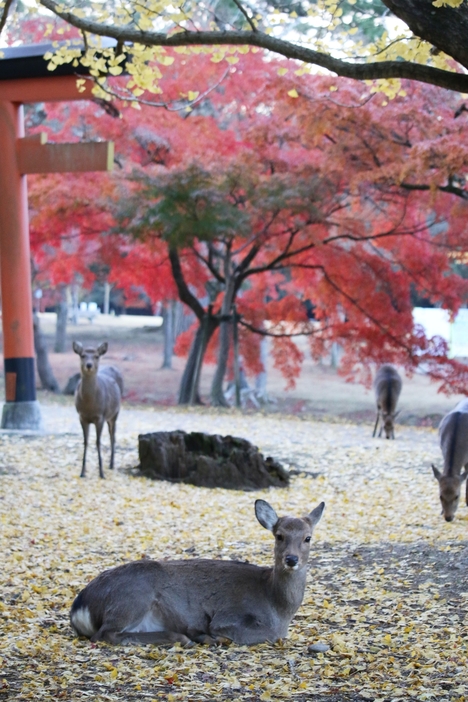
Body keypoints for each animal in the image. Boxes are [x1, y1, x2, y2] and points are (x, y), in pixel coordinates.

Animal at [70, 500, 326, 648]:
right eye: (279, 536)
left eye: (308, 537)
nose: (291, 559)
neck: (278, 609)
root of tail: (79, 607)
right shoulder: (228, 615)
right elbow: (270, 634)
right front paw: (213, 636)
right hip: (132, 597)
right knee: (105, 634)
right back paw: (186, 638)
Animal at [72, 340, 123, 478]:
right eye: (82, 355)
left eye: (96, 356)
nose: (89, 365)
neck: (90, 406)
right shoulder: (81, 417)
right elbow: (86, 442)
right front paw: (82, 472)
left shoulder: (100, 417)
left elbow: (98, 442)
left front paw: (101, 473)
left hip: (115, 413)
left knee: (113, 437)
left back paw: (111, 464)